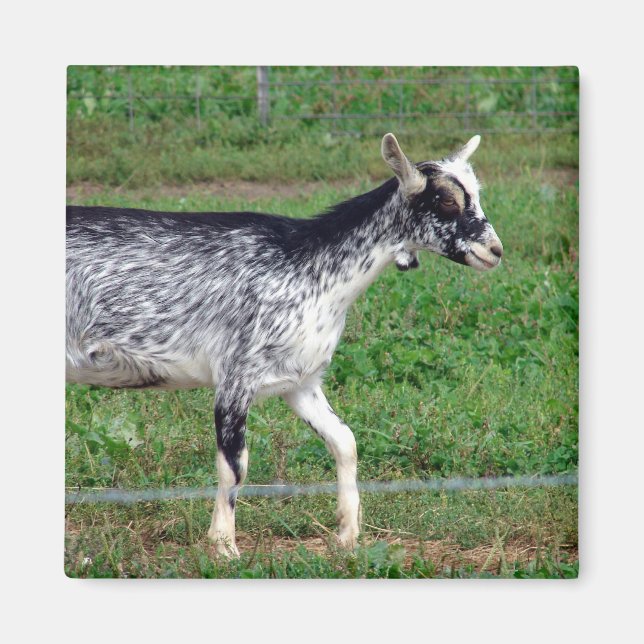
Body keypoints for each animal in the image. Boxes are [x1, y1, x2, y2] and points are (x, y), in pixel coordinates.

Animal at [66, 133, 503, 556]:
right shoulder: (236, 377)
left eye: (476, 193)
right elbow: (235, 464)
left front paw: (348, 534)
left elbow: (345, 441)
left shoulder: (301, 382)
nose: (495, 251)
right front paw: (225, 547)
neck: (305, 265)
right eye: (446, 200)